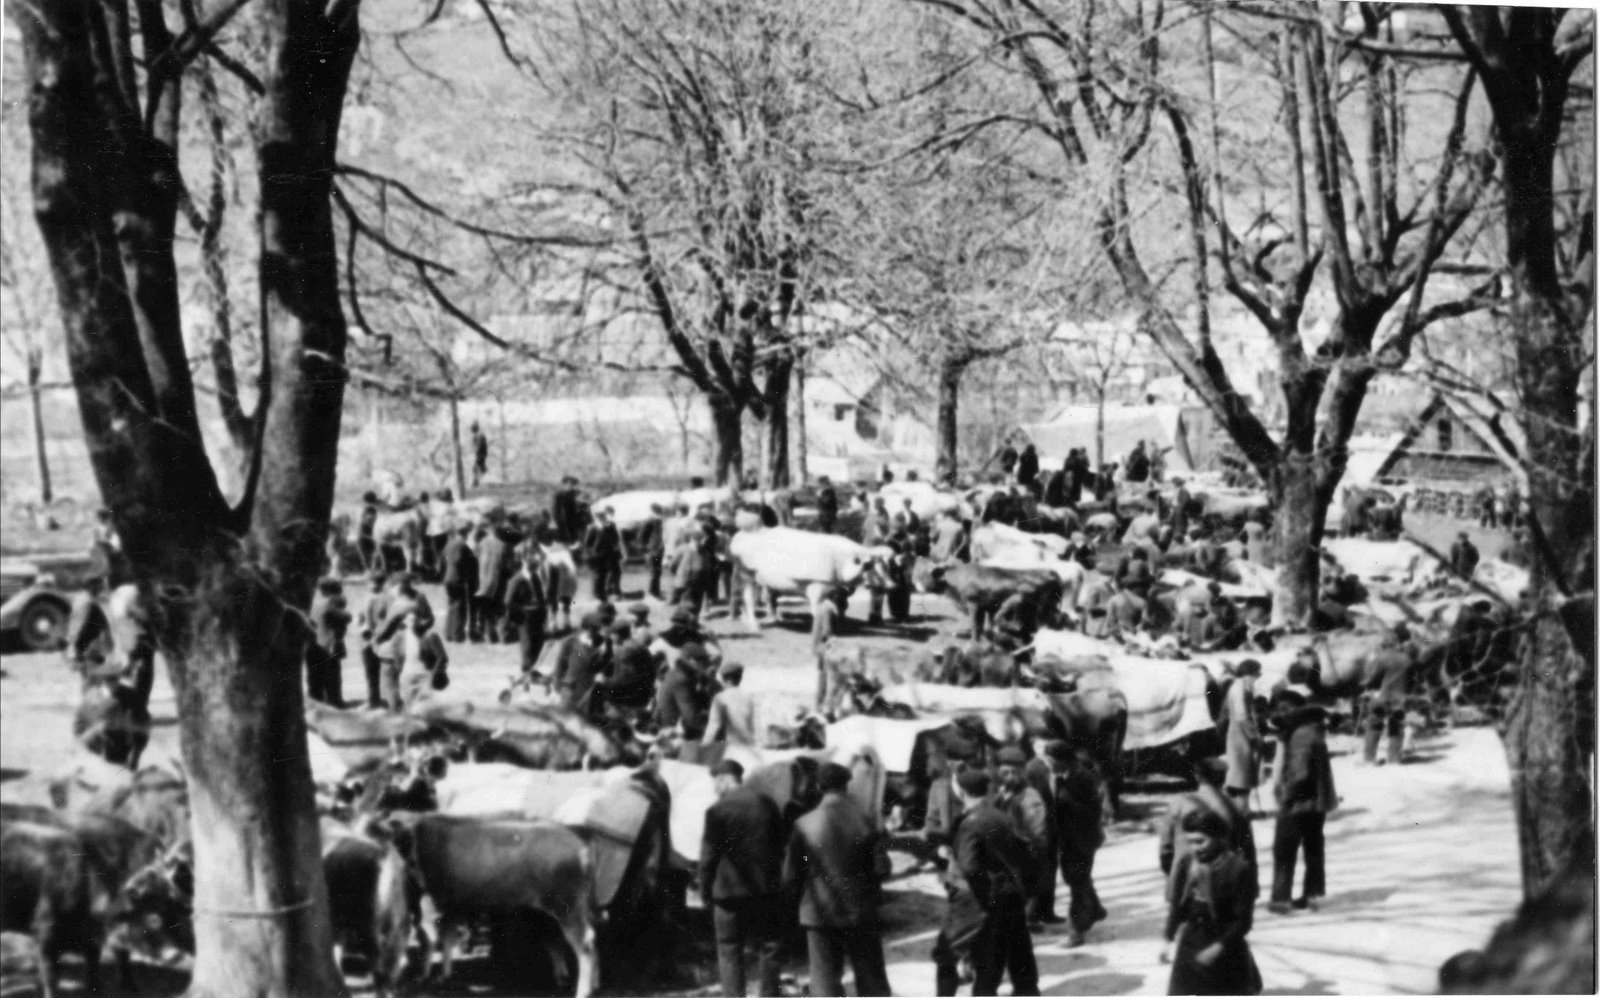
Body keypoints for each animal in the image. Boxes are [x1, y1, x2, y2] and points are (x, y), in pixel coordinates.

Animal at [388, 815, 601, 991]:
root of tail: (580, 847)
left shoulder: (436, 904)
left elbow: (432, 940)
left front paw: (430, 977)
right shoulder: (452, 906)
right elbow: (444, 939)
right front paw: (441, 975)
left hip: (567, 907)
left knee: (585, 945)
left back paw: (582, 990)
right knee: (570, 939)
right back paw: (585, 982)